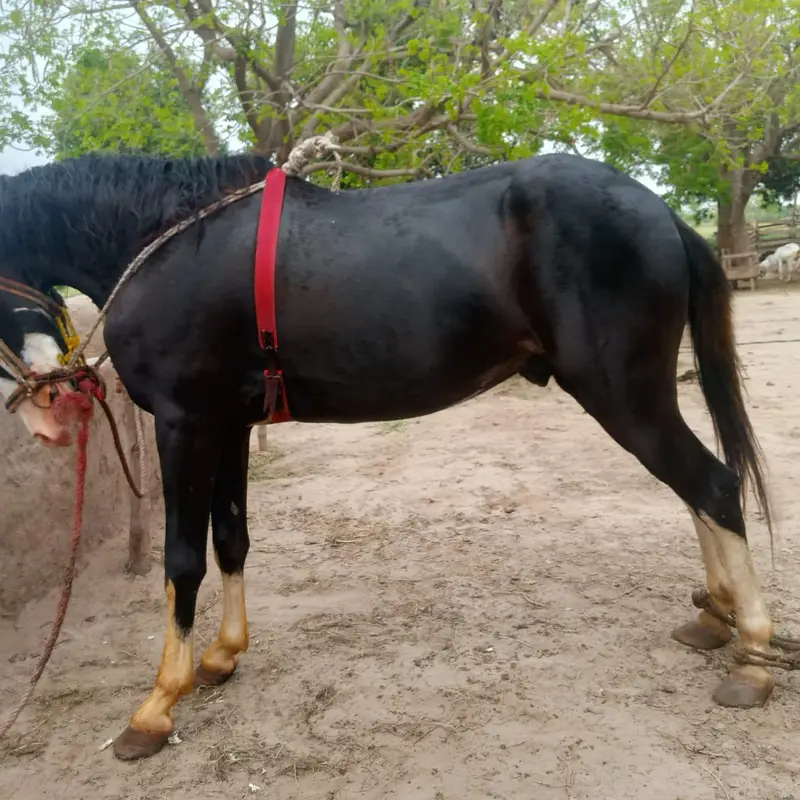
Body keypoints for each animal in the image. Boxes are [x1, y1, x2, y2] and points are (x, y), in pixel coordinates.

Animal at [0, 150, 780, 760]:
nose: (48, 408)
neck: (169, 239)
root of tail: (659, 212)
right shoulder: (226, 424)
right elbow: (231, 539)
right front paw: (222, 655)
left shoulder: (184, 423)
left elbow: (182, 561)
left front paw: (158, 705)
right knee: (698, 492)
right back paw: (717, 617)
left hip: (624, 393)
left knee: (712, 485)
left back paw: (754, 656)